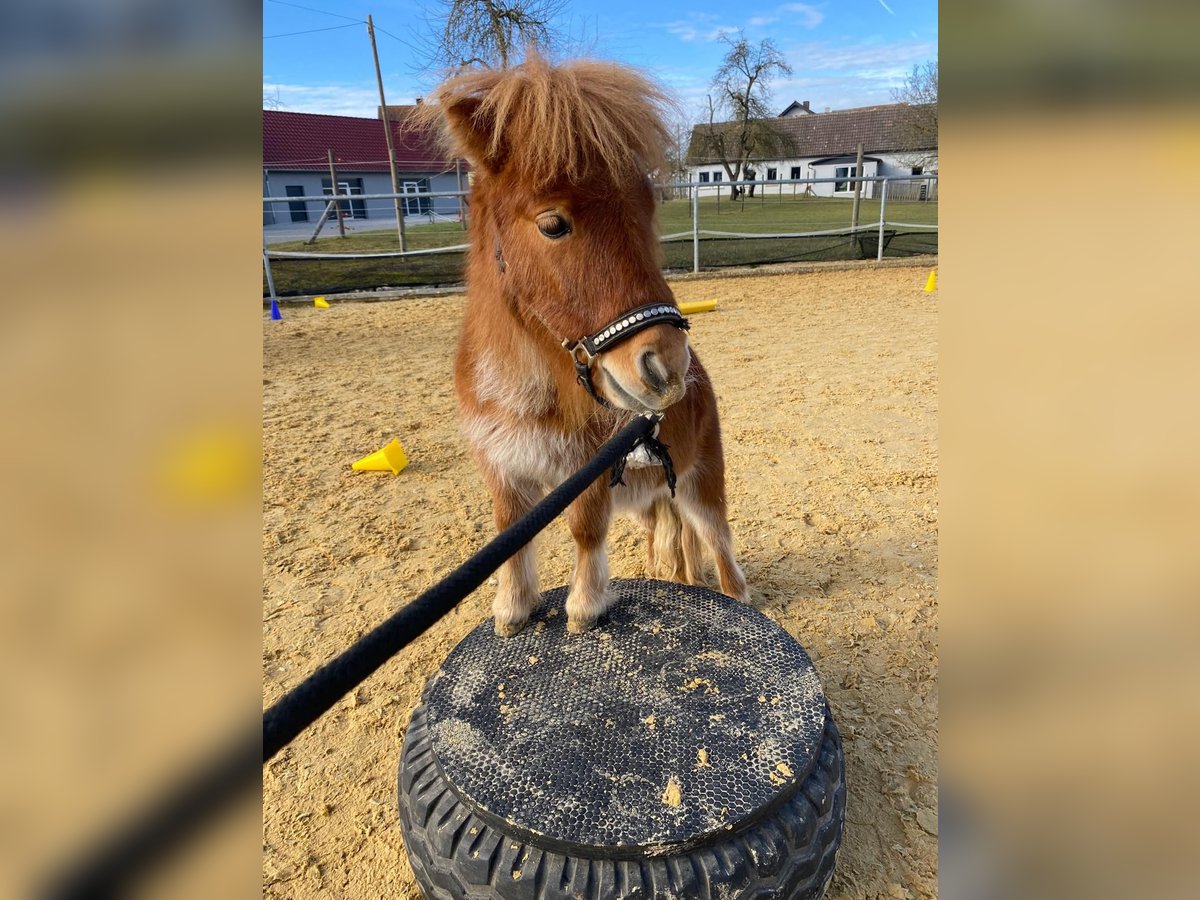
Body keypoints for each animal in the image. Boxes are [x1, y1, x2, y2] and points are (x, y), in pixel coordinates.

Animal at [417, 58, 744, 633]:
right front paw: (513, 607)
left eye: (646, 208)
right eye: (553, 223)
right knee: (672, 539)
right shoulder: (502, 467)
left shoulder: (588, 472)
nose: (666, 366)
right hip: (652, 497)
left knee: (721, 552)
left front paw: (585, 605)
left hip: (701, 483)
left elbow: (586, 530)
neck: (528, 390)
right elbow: (508, 534)